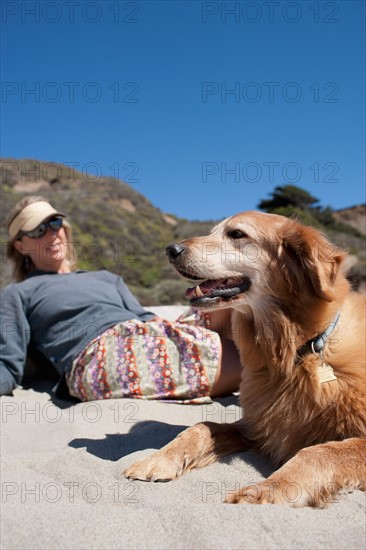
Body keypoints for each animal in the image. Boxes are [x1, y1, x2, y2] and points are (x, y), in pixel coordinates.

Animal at [123, 211, 366, 508]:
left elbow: (319, 451)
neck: (293, 354)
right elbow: (202, 427)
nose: (171, 250)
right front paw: (158, 459)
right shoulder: (259, 425)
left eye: (237, 234)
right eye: (212, 231)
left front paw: (266, 491)